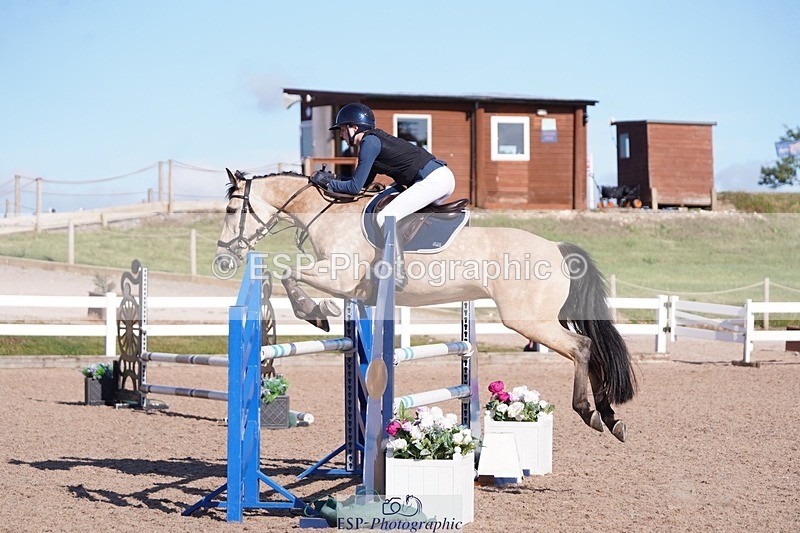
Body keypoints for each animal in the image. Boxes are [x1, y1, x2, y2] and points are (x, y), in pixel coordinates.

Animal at [214, 171, 637, 442]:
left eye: (232, 211)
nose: (224, 259)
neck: (329, 213)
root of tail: (557, 248)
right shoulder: (350, 287)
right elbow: (284, 274)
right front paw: (318, 313)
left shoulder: (339, 277)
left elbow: (287, 272)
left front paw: (314, 314)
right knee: (591, 350)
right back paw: (611, 418)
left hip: (528, 321)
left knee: (582, 347)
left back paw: (589, 412)